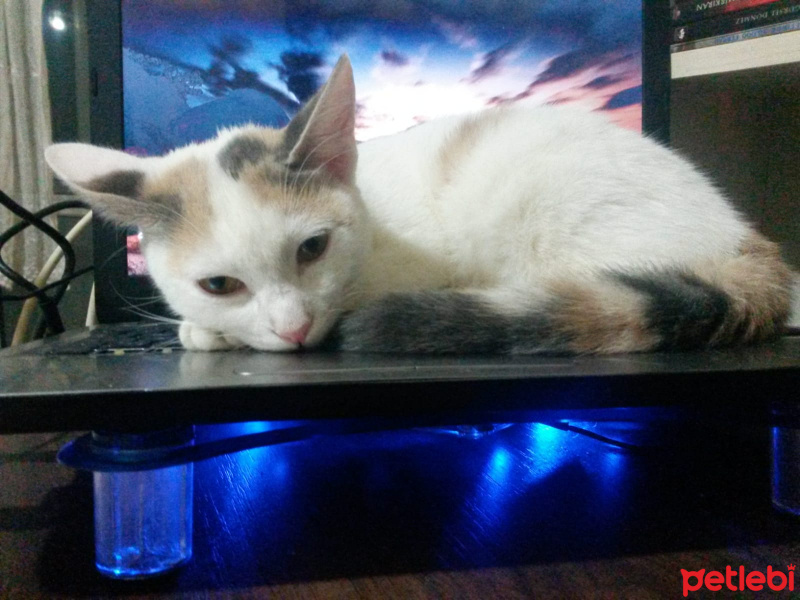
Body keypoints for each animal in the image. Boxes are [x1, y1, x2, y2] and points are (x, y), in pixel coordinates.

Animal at [45, 55, 792, 356]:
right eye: (219, 284)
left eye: (312, 248)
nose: (294, 330)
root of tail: (747, 241)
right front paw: (209, 328)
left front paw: (205, 334)